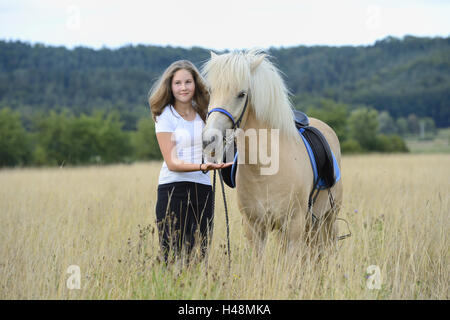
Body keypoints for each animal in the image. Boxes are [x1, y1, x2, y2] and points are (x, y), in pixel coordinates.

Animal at [202, 50, 342, 255]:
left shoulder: (293, 227)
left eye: (241, 94)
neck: (264, 169)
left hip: (328, 219)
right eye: (211, 91)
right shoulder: (254, 228)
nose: (208, 140)